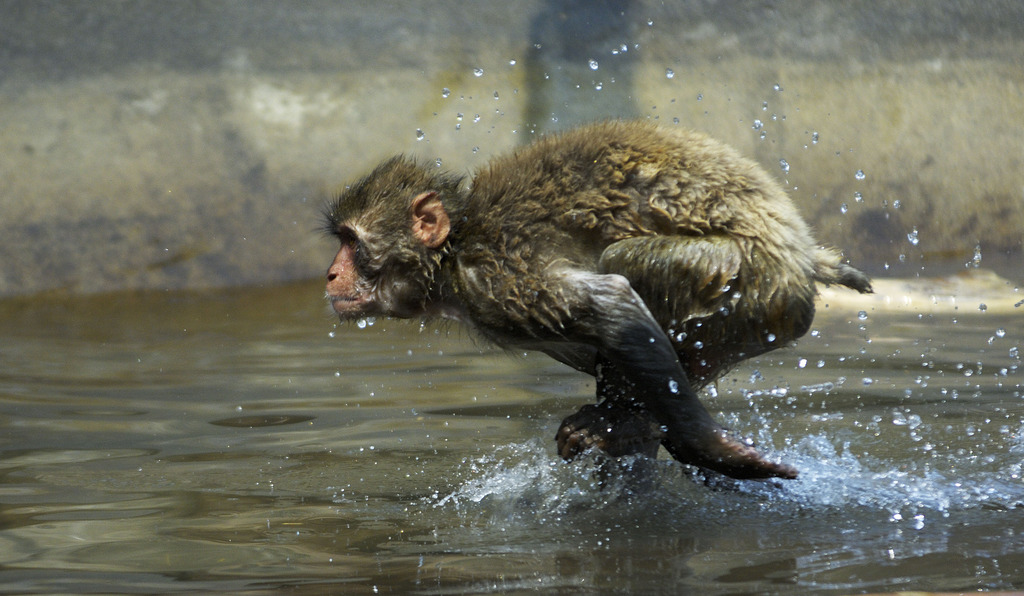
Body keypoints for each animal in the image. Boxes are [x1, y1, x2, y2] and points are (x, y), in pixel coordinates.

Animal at [321, 120, 872, 481]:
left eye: (352, 242)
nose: (329, 274)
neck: (454, 253)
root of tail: (797, 249)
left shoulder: (499, 281)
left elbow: (613, 304)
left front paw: (709, 449)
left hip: (748, 285)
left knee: (624, 266)